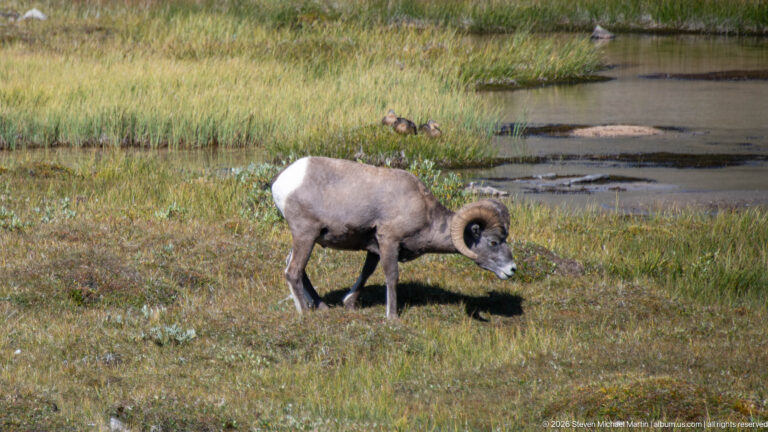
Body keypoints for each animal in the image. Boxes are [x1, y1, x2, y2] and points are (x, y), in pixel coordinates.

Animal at [271, 156, 517, 319]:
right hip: (306, 234)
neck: (423, 210)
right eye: (493, 242)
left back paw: (321, 306)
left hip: (307, 238)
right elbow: (392, 276)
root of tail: (280, 182)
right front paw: (392, 317)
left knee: (294, 267)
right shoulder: (390, 241)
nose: (512, 269)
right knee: (293, 271)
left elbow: (366, 273)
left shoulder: (374, 248)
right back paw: (305, 313)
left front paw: (349, 303)